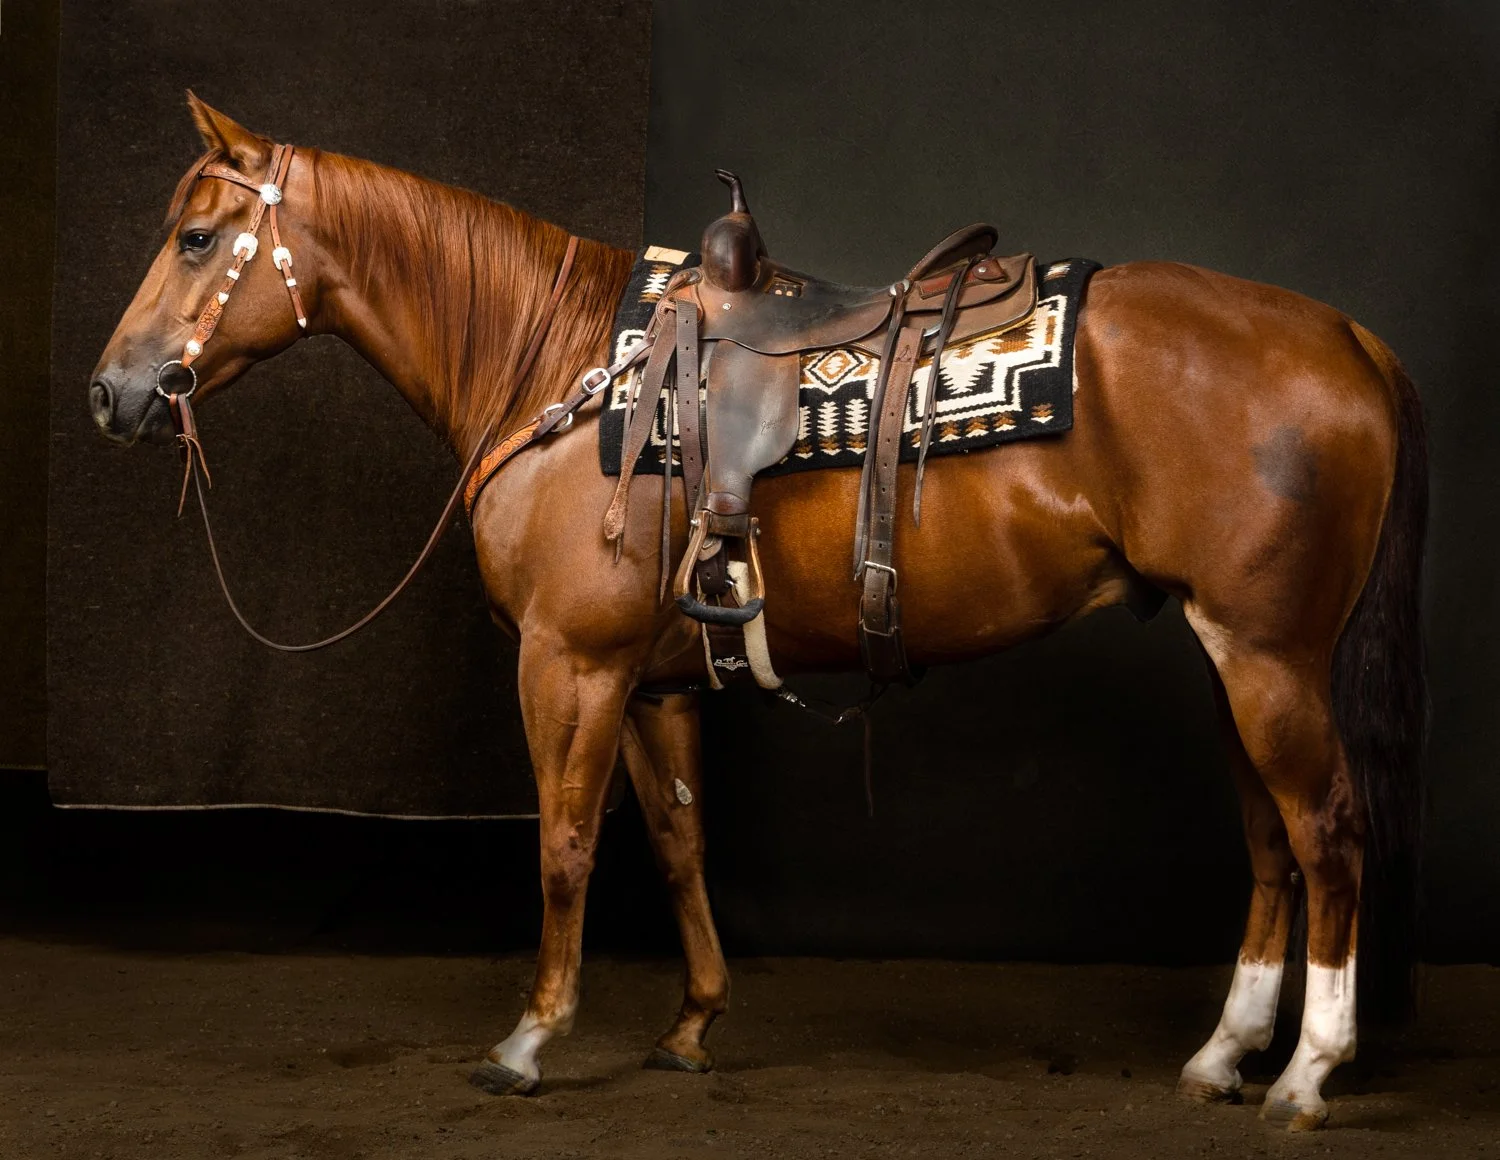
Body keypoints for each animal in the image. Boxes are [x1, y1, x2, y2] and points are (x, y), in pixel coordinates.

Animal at [89, 95, 1427, 1131]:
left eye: (197, 236)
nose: (110, 393)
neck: (564, 366)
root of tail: (1347, 334)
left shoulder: (568, 663)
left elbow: (564, 845)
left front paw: (529, 1038)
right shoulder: (652, 678)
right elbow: (679, 840)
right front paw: (692, 1022)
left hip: (1270, 659)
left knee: (1328, 833)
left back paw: (1308, 1071)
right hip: (1229, 652)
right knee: (1270, 839)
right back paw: (1224, 1053)